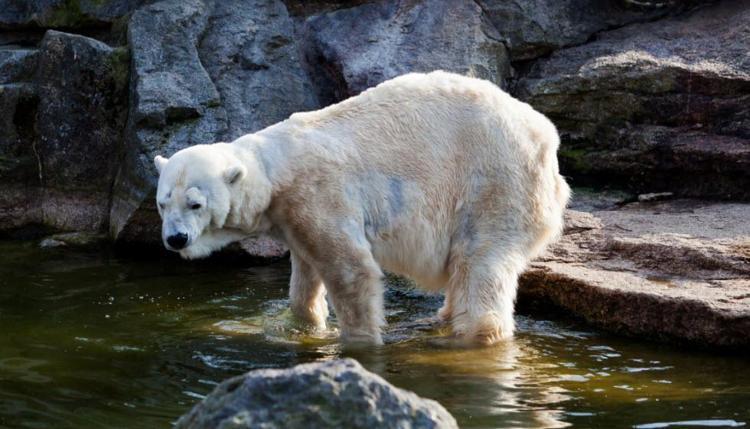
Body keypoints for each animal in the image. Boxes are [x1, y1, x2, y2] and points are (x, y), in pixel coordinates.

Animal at [153, 70, 568, 344]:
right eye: (162, 203)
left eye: (195, 203)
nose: (176, 239)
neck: (275, 169)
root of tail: (546, 136)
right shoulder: (292, 217)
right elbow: (305, 274)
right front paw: (304, 324)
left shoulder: (320, 194)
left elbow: (350, 270)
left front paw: (358, 341)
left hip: (495, 180)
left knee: (481, 260)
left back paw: (475, 333)